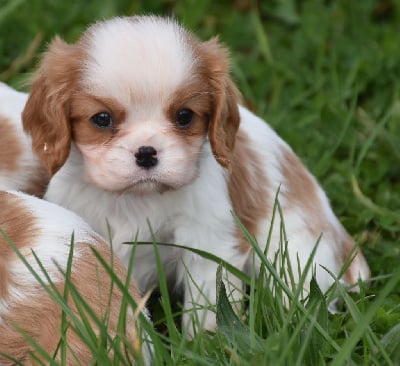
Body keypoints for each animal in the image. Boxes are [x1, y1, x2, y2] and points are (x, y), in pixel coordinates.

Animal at [21, 15, 370, 336]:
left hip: (295, 255)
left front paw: (205, 342)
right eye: (102, 119)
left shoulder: (207, 242)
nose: (146, 152)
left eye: (184, 116)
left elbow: (208, 303)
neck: (136, 199)